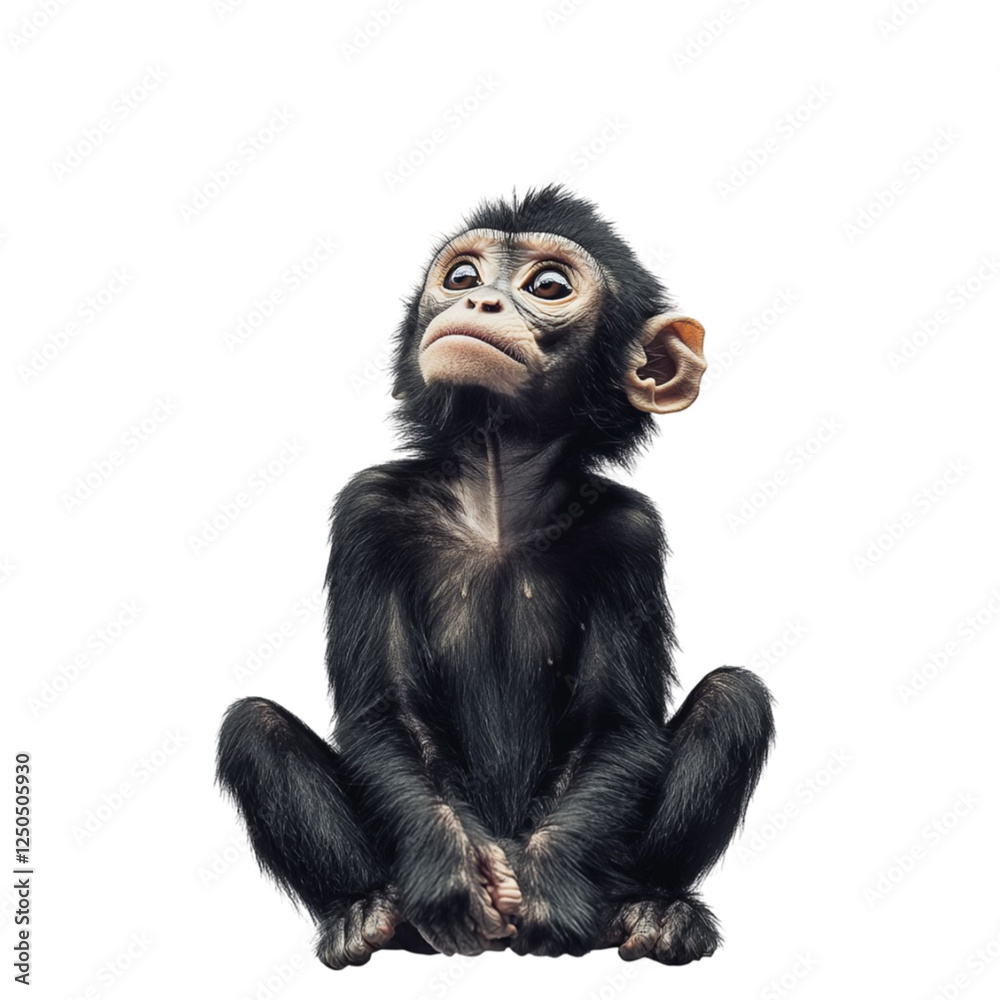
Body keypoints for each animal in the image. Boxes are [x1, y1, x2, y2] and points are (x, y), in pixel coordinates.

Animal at [216, 185, 775, 969]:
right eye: (461, 275)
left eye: (549, 287)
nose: (480, 300)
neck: (495, 487)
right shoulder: (365, 512)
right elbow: (389, 712)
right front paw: (450, 871)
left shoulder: (632, 534)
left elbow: (614, 724)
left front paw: (550, 885)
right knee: (253, 727)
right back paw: (369, 914)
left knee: (734, 698)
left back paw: (656, 913)